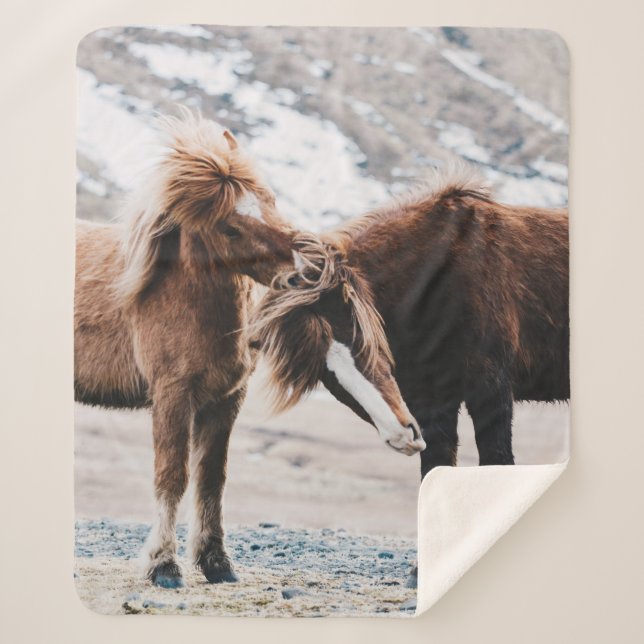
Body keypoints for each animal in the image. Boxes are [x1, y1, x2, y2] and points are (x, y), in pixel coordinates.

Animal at [75, 112, 298, 588]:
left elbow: (211, 478)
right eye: (230, 226)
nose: (305, 267)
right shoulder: (173, 395)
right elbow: (172, 476)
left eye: (270, 199)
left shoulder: (225, 399)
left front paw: (216, 563)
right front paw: (163, 565)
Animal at [251, 166, 569, 477]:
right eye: (323, 373)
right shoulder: (432, 404)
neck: (437, 277)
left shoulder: (491, 392)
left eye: (361, 337)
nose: (402, 435)